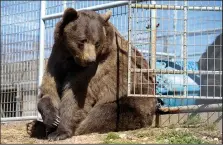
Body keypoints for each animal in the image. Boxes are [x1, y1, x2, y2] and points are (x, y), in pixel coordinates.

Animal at [26, 7, 157, 140]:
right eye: (82, 40)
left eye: (97, 43)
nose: (90, 59)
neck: (73, 59)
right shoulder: (58, 56)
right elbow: (49, 87)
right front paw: (52, 119)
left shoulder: (95, 71)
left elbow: (76, 96)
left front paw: (59, 132)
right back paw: (33, 126)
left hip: (134, 94)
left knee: (106, 113)